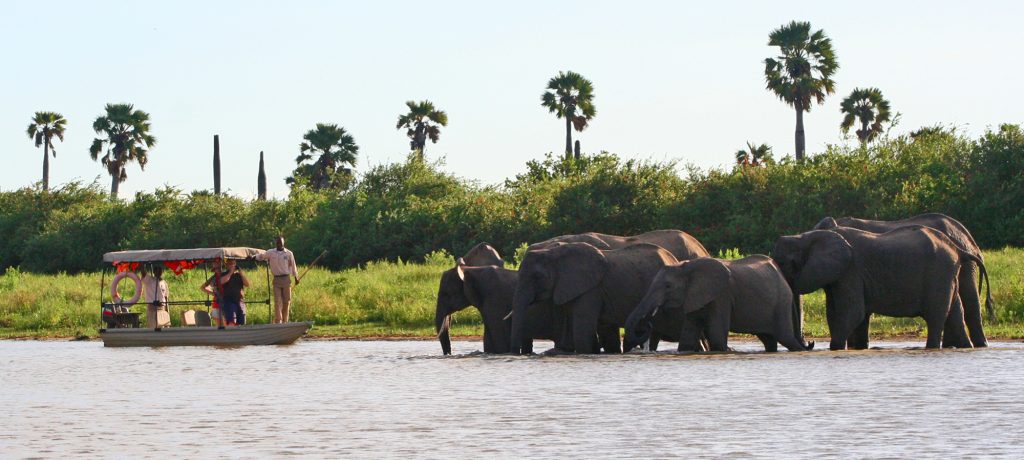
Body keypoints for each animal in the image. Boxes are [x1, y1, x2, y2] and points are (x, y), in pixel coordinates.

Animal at [507, 241, 675, 352]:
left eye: (538, 277)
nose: (516, 353)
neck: (553, 253)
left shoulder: (590, 289)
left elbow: (582, 332)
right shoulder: (569, 288)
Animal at [618, 254, 811, 352]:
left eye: (668, 286)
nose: (647, 323)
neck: (685, 267)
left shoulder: (722, 295)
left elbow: (717, 334)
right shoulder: (694, 295)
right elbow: (687, 337)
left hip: (781, 302)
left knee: (785, 338)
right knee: (769, 339)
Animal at [770, 225, 978, 348]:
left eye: (785, 263)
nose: (810, 343)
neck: (805, 236)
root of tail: (958, 249)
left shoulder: (851, 270)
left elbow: (852, 312)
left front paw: (835, 349)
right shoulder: (839, 274)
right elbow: (835, 312)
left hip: (939, 274)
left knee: (936, 317)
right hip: (947, 275)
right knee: (955, 314)